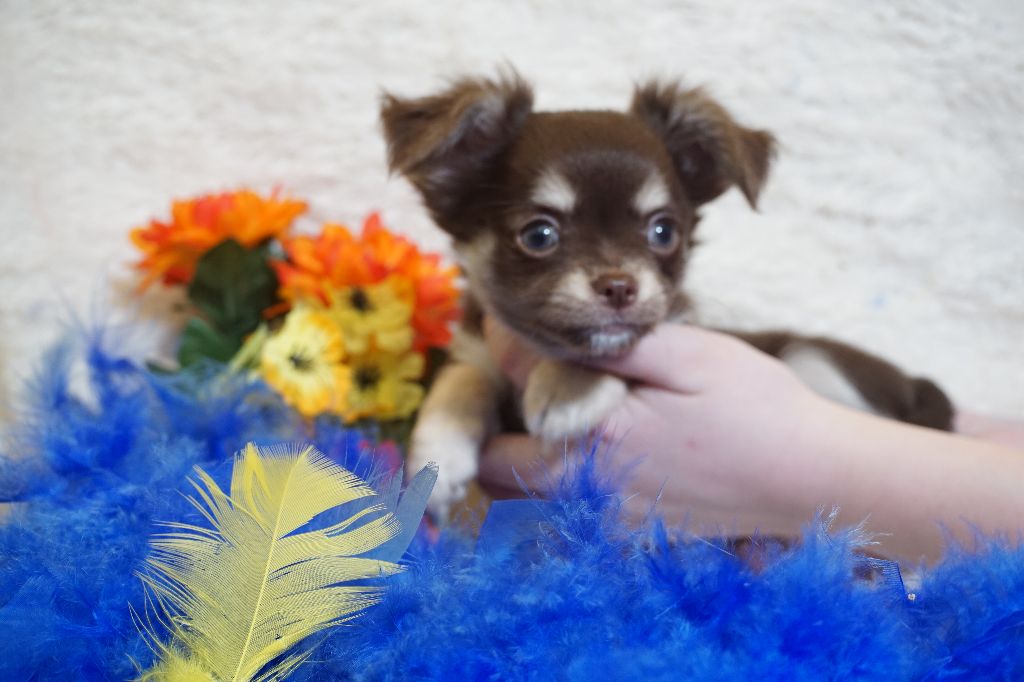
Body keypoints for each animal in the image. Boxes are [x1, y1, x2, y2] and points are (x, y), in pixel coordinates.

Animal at [378, 70, 950, 516]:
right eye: (538, 235)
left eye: (663, 231)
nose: (619, 286)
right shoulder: (479, 351)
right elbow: (462, 380)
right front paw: (438, 458)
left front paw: (567, 388)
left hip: (815, 362)